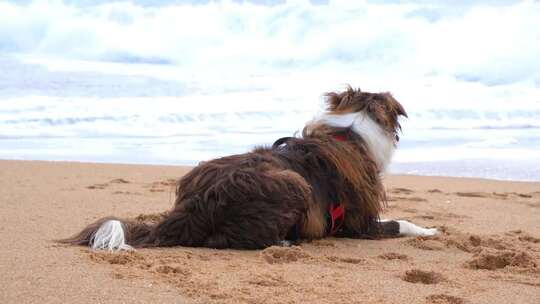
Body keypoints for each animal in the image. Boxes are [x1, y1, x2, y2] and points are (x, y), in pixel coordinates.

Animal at [61, 86, 436, 251]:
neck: (349, 133)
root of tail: (195, 205)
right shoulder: (359, 224)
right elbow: (401, 223)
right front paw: (430, 231)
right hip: (294, 183)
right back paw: (282, 242)